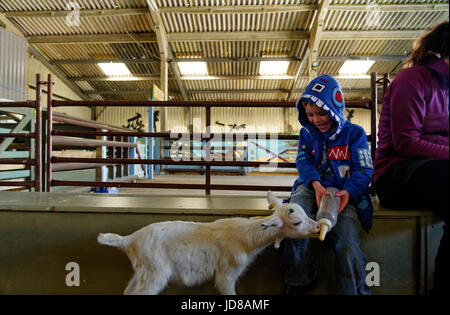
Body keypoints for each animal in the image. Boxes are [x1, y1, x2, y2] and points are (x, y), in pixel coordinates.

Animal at [97, 191, 320, 298]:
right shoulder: (226, 273)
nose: (318, 226)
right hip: (155, 272)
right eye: (296, 222)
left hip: (142, 270)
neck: (246, 237)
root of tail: (128, 239)